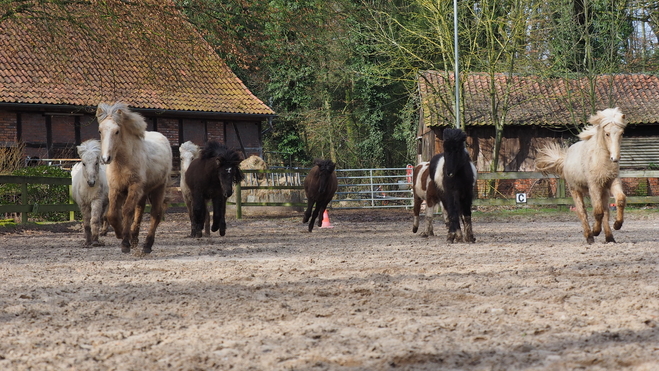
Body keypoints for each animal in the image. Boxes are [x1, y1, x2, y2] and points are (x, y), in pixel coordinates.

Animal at [96, 102, 173, 256]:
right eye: (100, 131)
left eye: (117, 131)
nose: (106, 158)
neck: (123, 162)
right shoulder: (115, 189)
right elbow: (112, 214)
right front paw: (121, 234)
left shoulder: (134, 187)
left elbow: (127, 211)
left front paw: (125, 242)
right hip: (143, 192)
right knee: (140, 211)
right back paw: (135, 239)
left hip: (158, 188)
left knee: (155, 213)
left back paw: (147, 245)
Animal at [536, 107, 628, 244]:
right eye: (607, 134)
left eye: (621, 133)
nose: (615, 158)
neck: (601, 159)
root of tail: (565, 158)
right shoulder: (594, 186)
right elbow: (597, 212)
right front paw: (595, 232)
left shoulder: (613, 182)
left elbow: (620, 200)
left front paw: (617, 225)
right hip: (575, 190)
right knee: (582, 212)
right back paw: (589, 236)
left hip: (604, 190)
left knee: (606, 211)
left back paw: (610, 238)